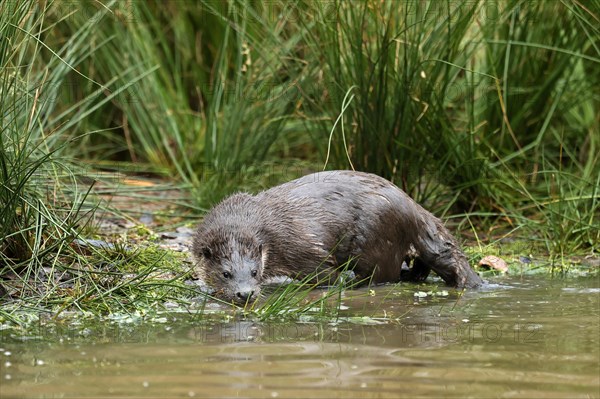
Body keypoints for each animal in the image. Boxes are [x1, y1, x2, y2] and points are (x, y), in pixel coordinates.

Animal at [193, 170, 482, 304]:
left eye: (254, 272)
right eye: (226, 273)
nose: (245, 294)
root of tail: (408, 203)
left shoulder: (304, 249)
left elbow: (324, 273)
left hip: (375, 241)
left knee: (381, 274)